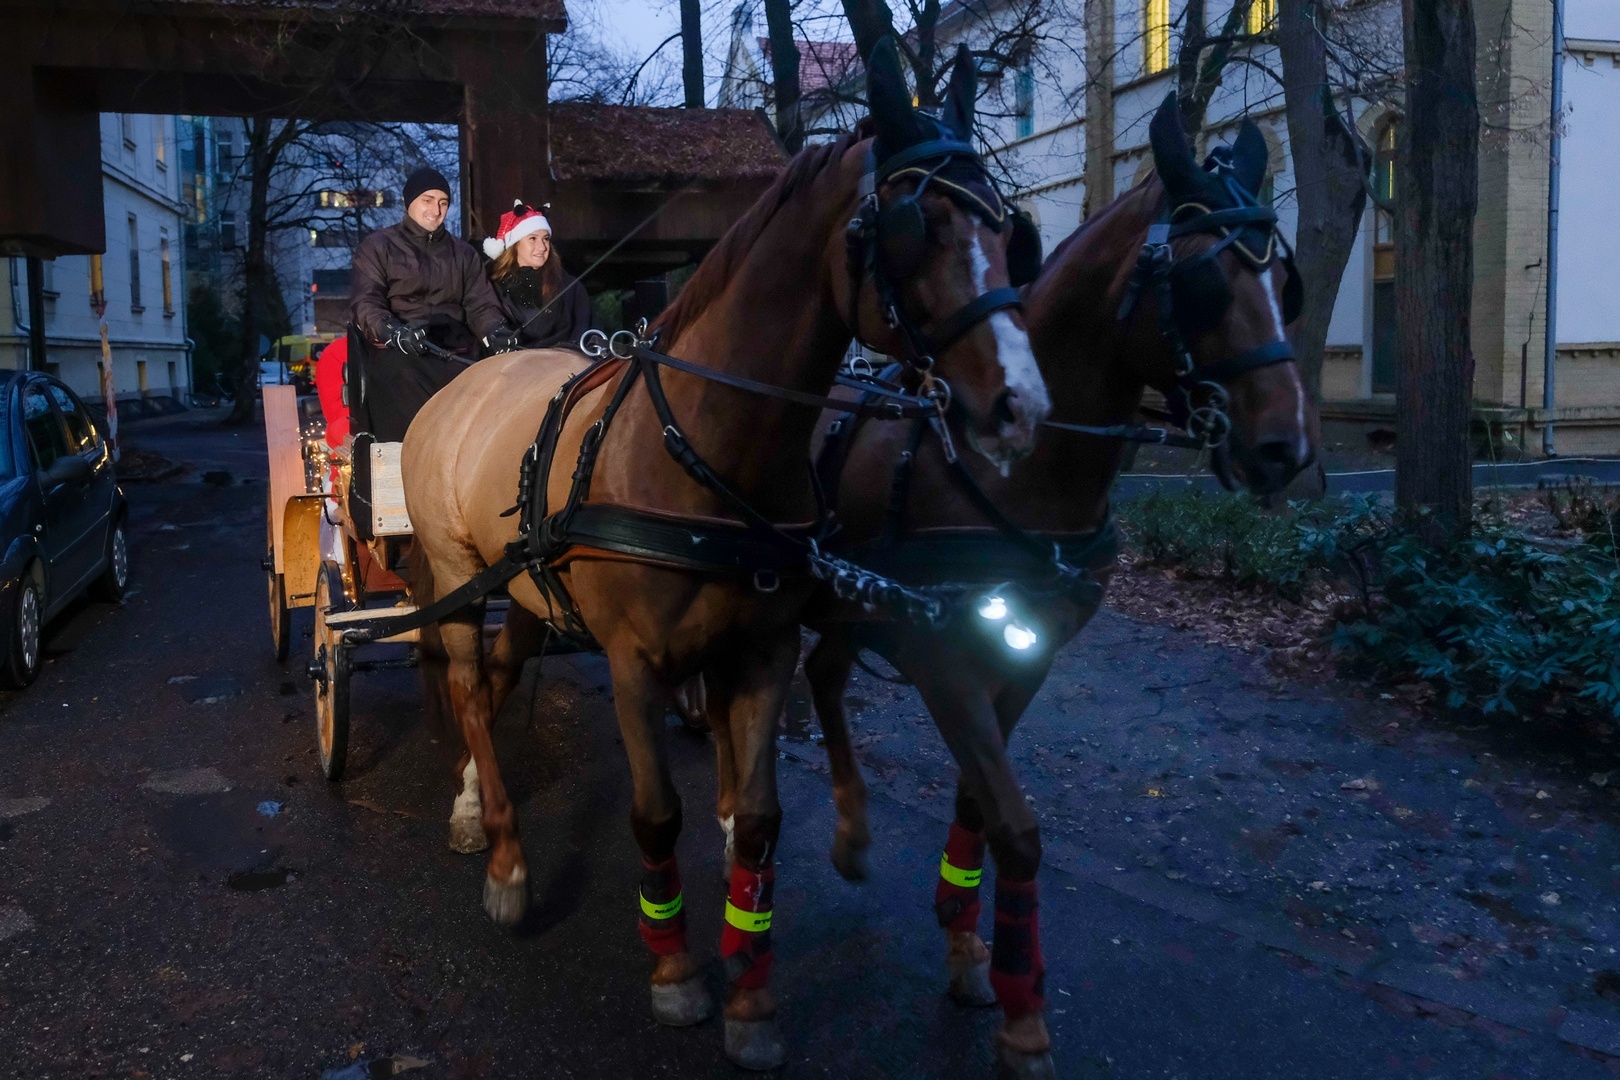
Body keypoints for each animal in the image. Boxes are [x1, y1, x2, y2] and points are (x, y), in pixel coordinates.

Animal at [400, 40, 1050, 1071]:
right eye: (917, 226)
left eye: (1007, 229)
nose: (1021, 407)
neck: (703, 443)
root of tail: (470, 376)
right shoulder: (633, 662)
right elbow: (656, 814)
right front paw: (675, 971)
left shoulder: (763, 651)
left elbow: (758, 820)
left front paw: (751, 997)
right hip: (462, 575)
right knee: (466, 685)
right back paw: (502, 853)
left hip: (531, 592)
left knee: (496, 681)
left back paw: (471, 800)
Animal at [787, 94, 1318, 1078]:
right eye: (1205, 284)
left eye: (1284, 282)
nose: (1285, 449)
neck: (1013, 471)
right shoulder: (942, 660)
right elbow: (1017, 824)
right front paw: (1022, 1011)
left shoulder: (1027, 655)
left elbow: (979, 801)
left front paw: (965, 941)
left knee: (827, 678)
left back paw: (851, 830)